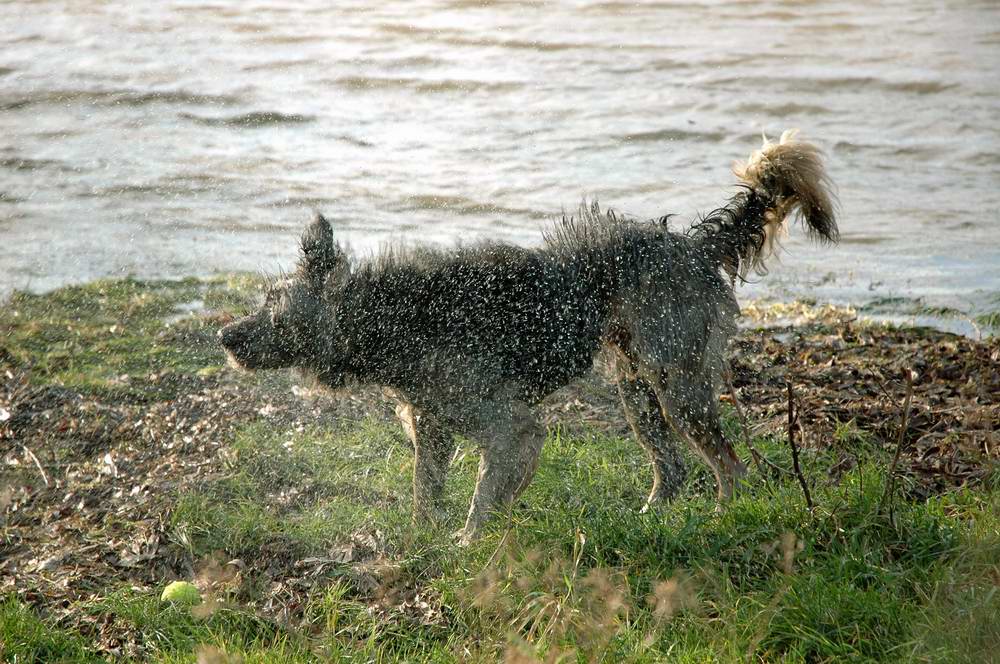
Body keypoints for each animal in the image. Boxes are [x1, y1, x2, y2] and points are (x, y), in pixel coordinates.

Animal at [219, 131, 836, 544]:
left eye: (276, 316)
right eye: (262, 301)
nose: (224, 336)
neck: (393, 315)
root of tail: (692, 245)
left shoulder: (512, 429)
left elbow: (482, 498)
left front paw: (467, 544)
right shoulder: (432, 428)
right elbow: (427, 494)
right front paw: (423, 542)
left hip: (677, 388)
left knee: (731, 468)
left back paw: (720, 518)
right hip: (638, 391)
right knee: (675, 471)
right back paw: (648, 518)